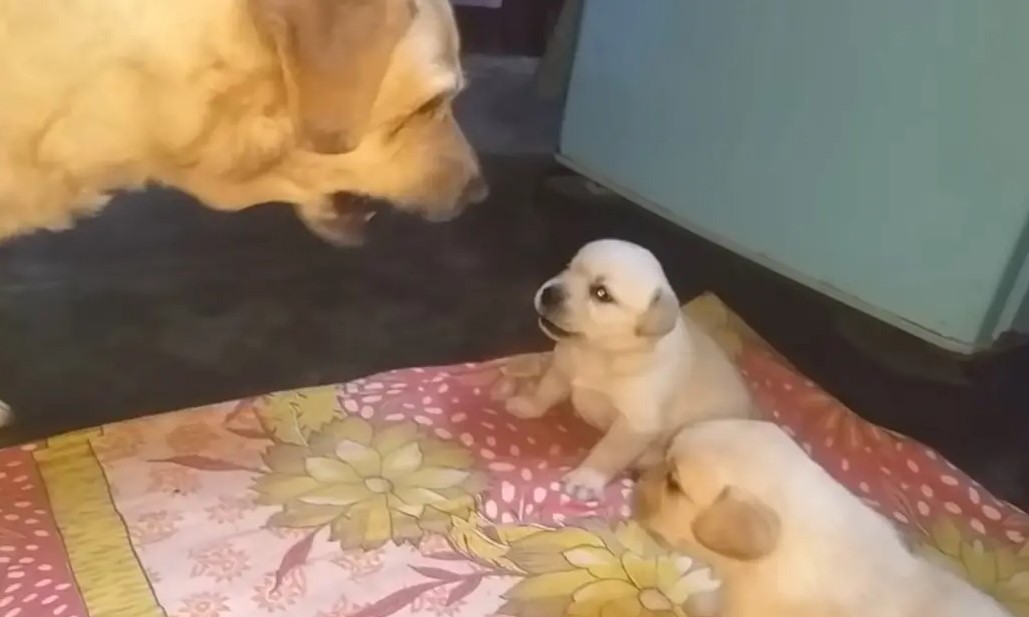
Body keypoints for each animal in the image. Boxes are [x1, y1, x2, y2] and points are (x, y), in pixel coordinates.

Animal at [504, 239, 753, 501]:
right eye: (568, 267)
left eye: (601, 293)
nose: (548, 292)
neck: (597, 352)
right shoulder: (562, 369)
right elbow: (545, 392)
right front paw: (527, 405)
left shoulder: (634, 424)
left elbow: (607, 451)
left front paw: (585, 479)